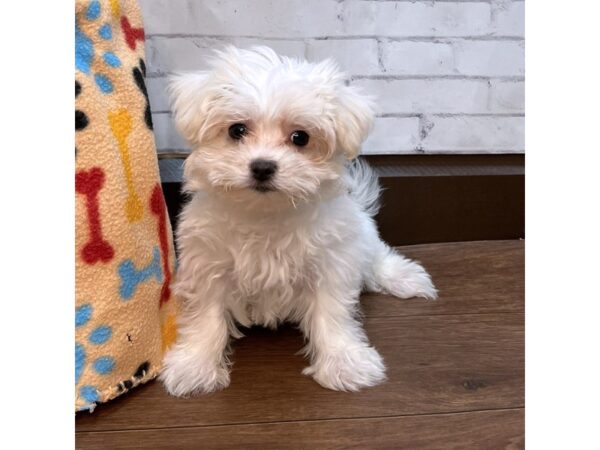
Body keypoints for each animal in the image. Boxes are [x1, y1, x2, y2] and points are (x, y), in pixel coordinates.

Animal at [161, 46, 436, 398]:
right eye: (237, 130)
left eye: (300, 137)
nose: (262, 166)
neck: (266, 214)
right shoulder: (207, 263)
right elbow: (207, 316)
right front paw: (194, 365)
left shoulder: (331, 263)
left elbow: (331, 314)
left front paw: (345, 362)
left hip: (359, 236)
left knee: (376, 256)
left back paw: (404, 278)